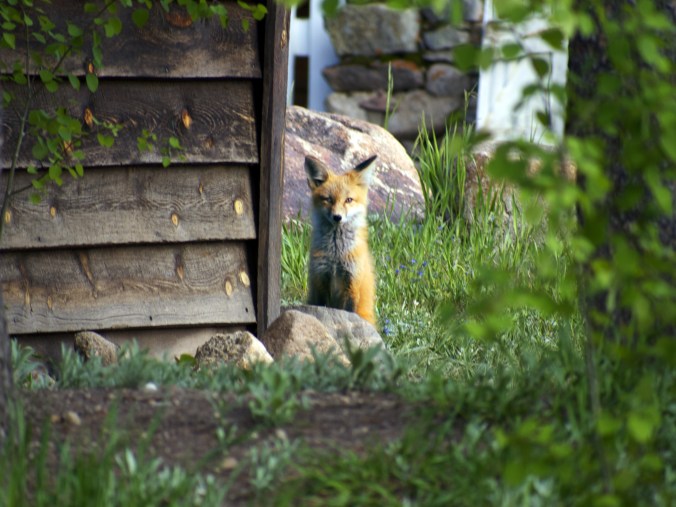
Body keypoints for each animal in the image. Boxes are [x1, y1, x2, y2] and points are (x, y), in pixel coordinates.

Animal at [304, 155, 377, 325]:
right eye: (328, 199)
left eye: (348, 200)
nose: (337, 217)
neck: (336, 254)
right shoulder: (321, 278)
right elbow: (322, 309)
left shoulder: (352, 283)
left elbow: (348, 313)